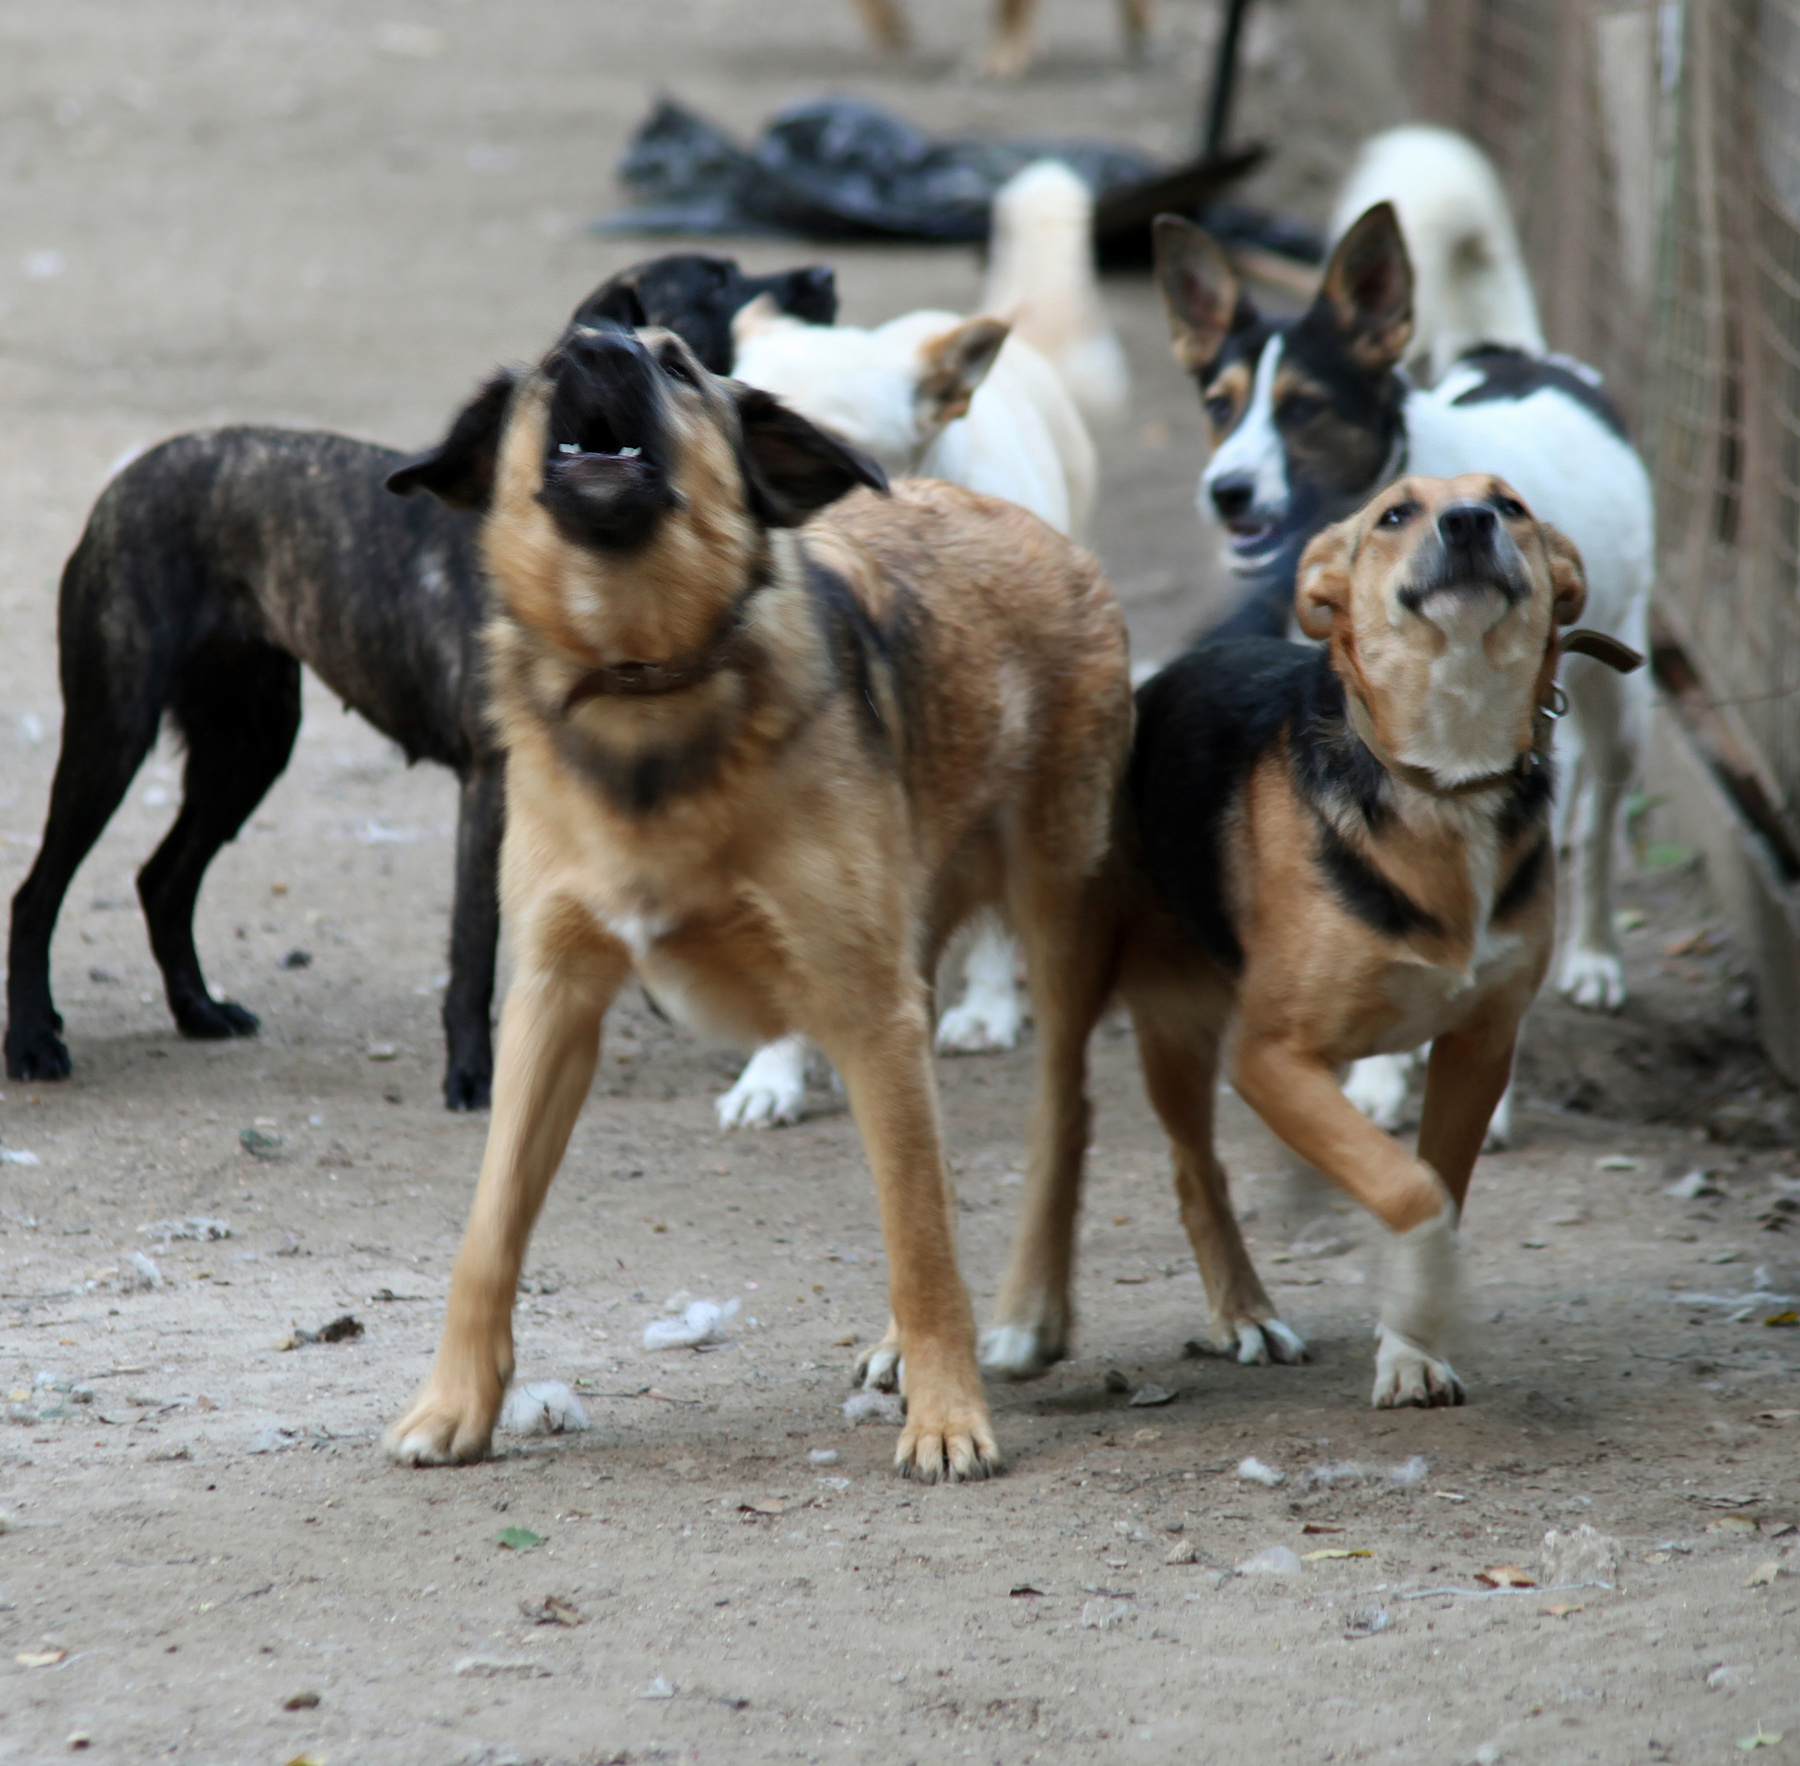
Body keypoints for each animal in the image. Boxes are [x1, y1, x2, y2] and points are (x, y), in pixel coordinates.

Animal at [3, 252, 835, 1101]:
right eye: (717, 282)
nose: (823, 278)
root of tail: (128, 479)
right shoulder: (491, 789)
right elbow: (474, 948)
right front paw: (473, 1073)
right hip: (114, 732)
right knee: (38, 893)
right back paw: (33, 1040)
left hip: (247, 747)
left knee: (162, 881)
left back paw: (197, 1011)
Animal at [387, 320, 1130, 1476]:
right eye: (551, 363)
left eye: (676, 362)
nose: (597, 340)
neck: (642, 671)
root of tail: (1026, 527)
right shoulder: (553, 1004)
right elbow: (489, 1226)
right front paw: (454, 1404)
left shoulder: (867, 1010)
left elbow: (920, 1242)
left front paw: (948, 1417)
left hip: (1047, 928)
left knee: (1055, 1125)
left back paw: (1021, 1317)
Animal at [986, 468, 1648, 1404]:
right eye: (1396, 513)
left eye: (1510, 506)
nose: (1468, 522)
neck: (1445, 776)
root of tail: (1159, 682)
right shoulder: (1267, 1055)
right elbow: (1411, 1191)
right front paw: (1425, 1305)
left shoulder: (1479, 1044)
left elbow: (1434, 1185)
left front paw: (1410, 1341)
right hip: (1126, 997)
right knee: (1115, 1142)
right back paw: (1064, 1319)